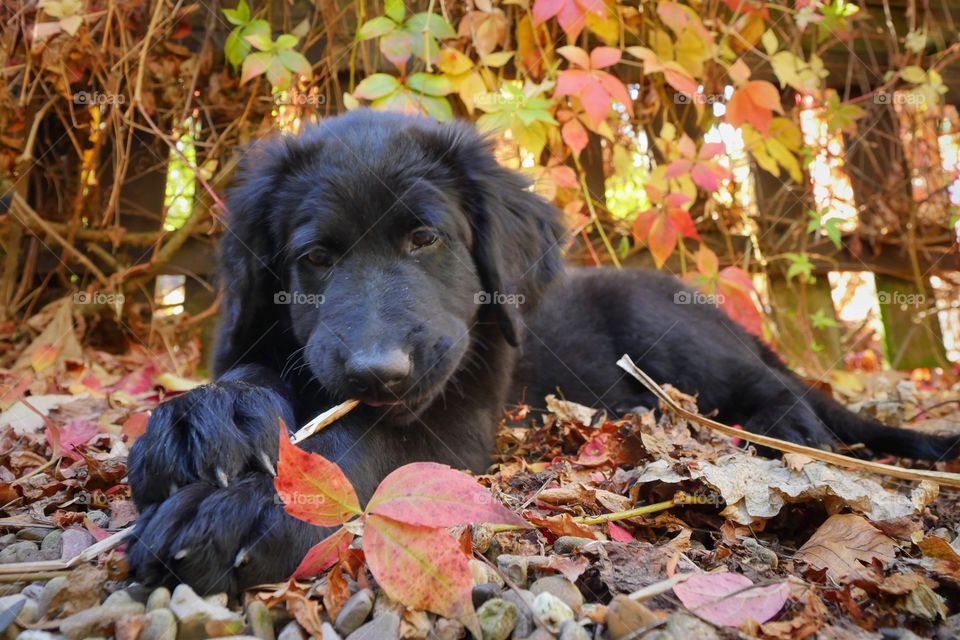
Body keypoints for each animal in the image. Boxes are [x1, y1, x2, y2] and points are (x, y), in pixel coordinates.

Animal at [129, 111, 960, 596]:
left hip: (671, 334)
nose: (376, 370)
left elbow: (363, 440)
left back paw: (789, 440)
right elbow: (251, 377)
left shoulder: (456, 410)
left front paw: (251, 509)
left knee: (774, 396)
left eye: (425, 238)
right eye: (315, 258)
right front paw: (202, 421)